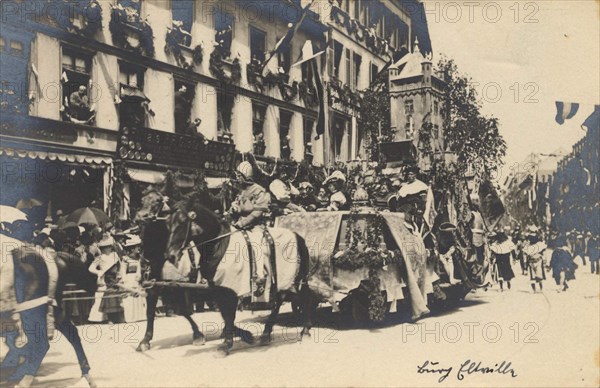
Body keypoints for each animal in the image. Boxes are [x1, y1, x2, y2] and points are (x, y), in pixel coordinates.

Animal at [136, 190, 314, 354]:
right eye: (167, 223)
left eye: (182, 222)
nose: (171, 255)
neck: (217, 244)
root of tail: (298, 236)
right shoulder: (208, 288)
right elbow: (222, 314)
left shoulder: (221, 288)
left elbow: (224, 314)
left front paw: (224, 340)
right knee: (280, 301)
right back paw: (267, 333)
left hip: (295, 278)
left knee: (302, 298)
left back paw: (304, 331)